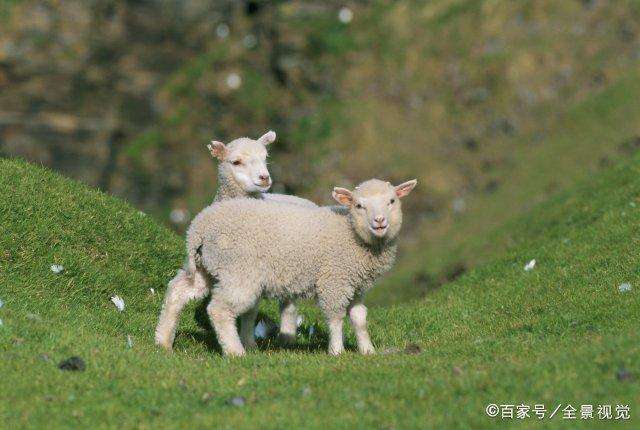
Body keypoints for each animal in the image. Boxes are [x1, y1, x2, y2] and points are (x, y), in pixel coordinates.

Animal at [155, 130, 316, 350]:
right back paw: (164, 341)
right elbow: (249, 309)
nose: (264, 178)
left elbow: (251, 311)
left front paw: (249, 342)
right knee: (180, 291)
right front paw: (247, 343)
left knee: (287, 304)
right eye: (236, 162)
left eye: (265, 158)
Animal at [156, 178, 416, 356]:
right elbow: (335, 316)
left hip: (206, 266)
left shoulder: (356, 285)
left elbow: (360, 318)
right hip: (238, 271)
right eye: (359, 205)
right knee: (219, 309)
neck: (352, 233)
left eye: (392, 201)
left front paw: (367, 350)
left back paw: (163, 341)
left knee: (178, 291)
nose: (379, 222)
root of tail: (198, 228)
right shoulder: (334, 280)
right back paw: (235, 352)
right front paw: (336, 351)